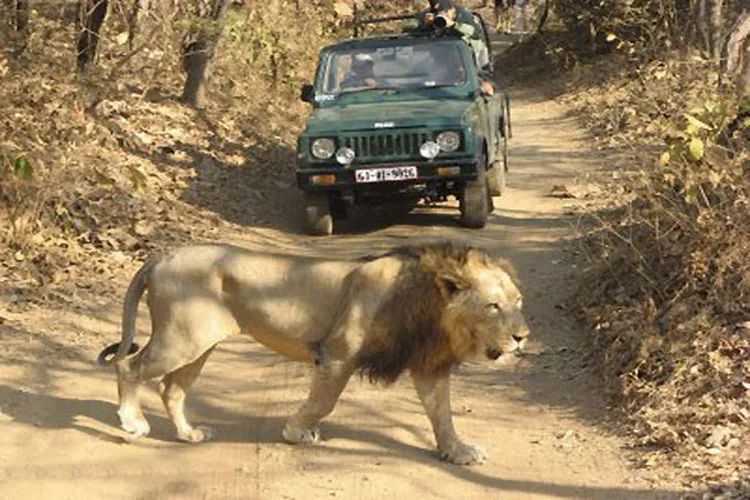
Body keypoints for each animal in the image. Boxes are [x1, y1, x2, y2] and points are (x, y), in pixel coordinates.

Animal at [97, 242, 529, 465]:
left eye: (519, 302)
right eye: (493, 306)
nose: (523, 337)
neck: (431, 305)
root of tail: (162, 256)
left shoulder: (429, 366)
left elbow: (443, 416)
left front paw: (458, 451)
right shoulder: (338, 354)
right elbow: (324, 402)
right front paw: (297, 432)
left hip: (198, 344)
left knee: (171, 389)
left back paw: (188, 434)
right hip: (181, 339)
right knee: (128, 365)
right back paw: (133, 422)